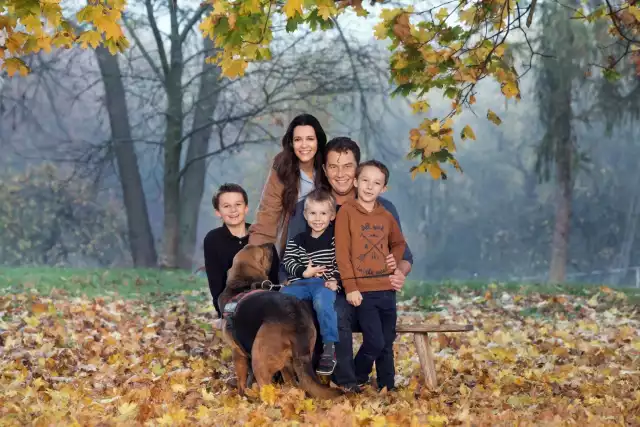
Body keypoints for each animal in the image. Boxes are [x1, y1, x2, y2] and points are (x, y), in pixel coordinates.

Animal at [218, 244, 342, 402]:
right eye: (261, 251)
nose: (270, 244)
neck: (242, 285)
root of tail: (296, 320)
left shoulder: (237, 352)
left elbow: (241, 382)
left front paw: (241, 397)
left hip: (259, 358)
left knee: (268, 390)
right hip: (292, 361)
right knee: (294, 386)